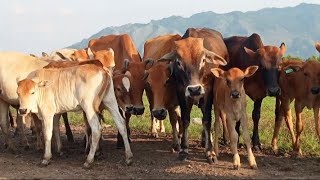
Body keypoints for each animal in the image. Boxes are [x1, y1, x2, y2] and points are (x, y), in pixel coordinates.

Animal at [159, 27, 229, 162]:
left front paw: (209, 151)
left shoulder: (208, 92)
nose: (194, 89)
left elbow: (207, 120)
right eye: (178, 62)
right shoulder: (182, 92)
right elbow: (185, 120)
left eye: (203, 60)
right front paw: (184, 149)